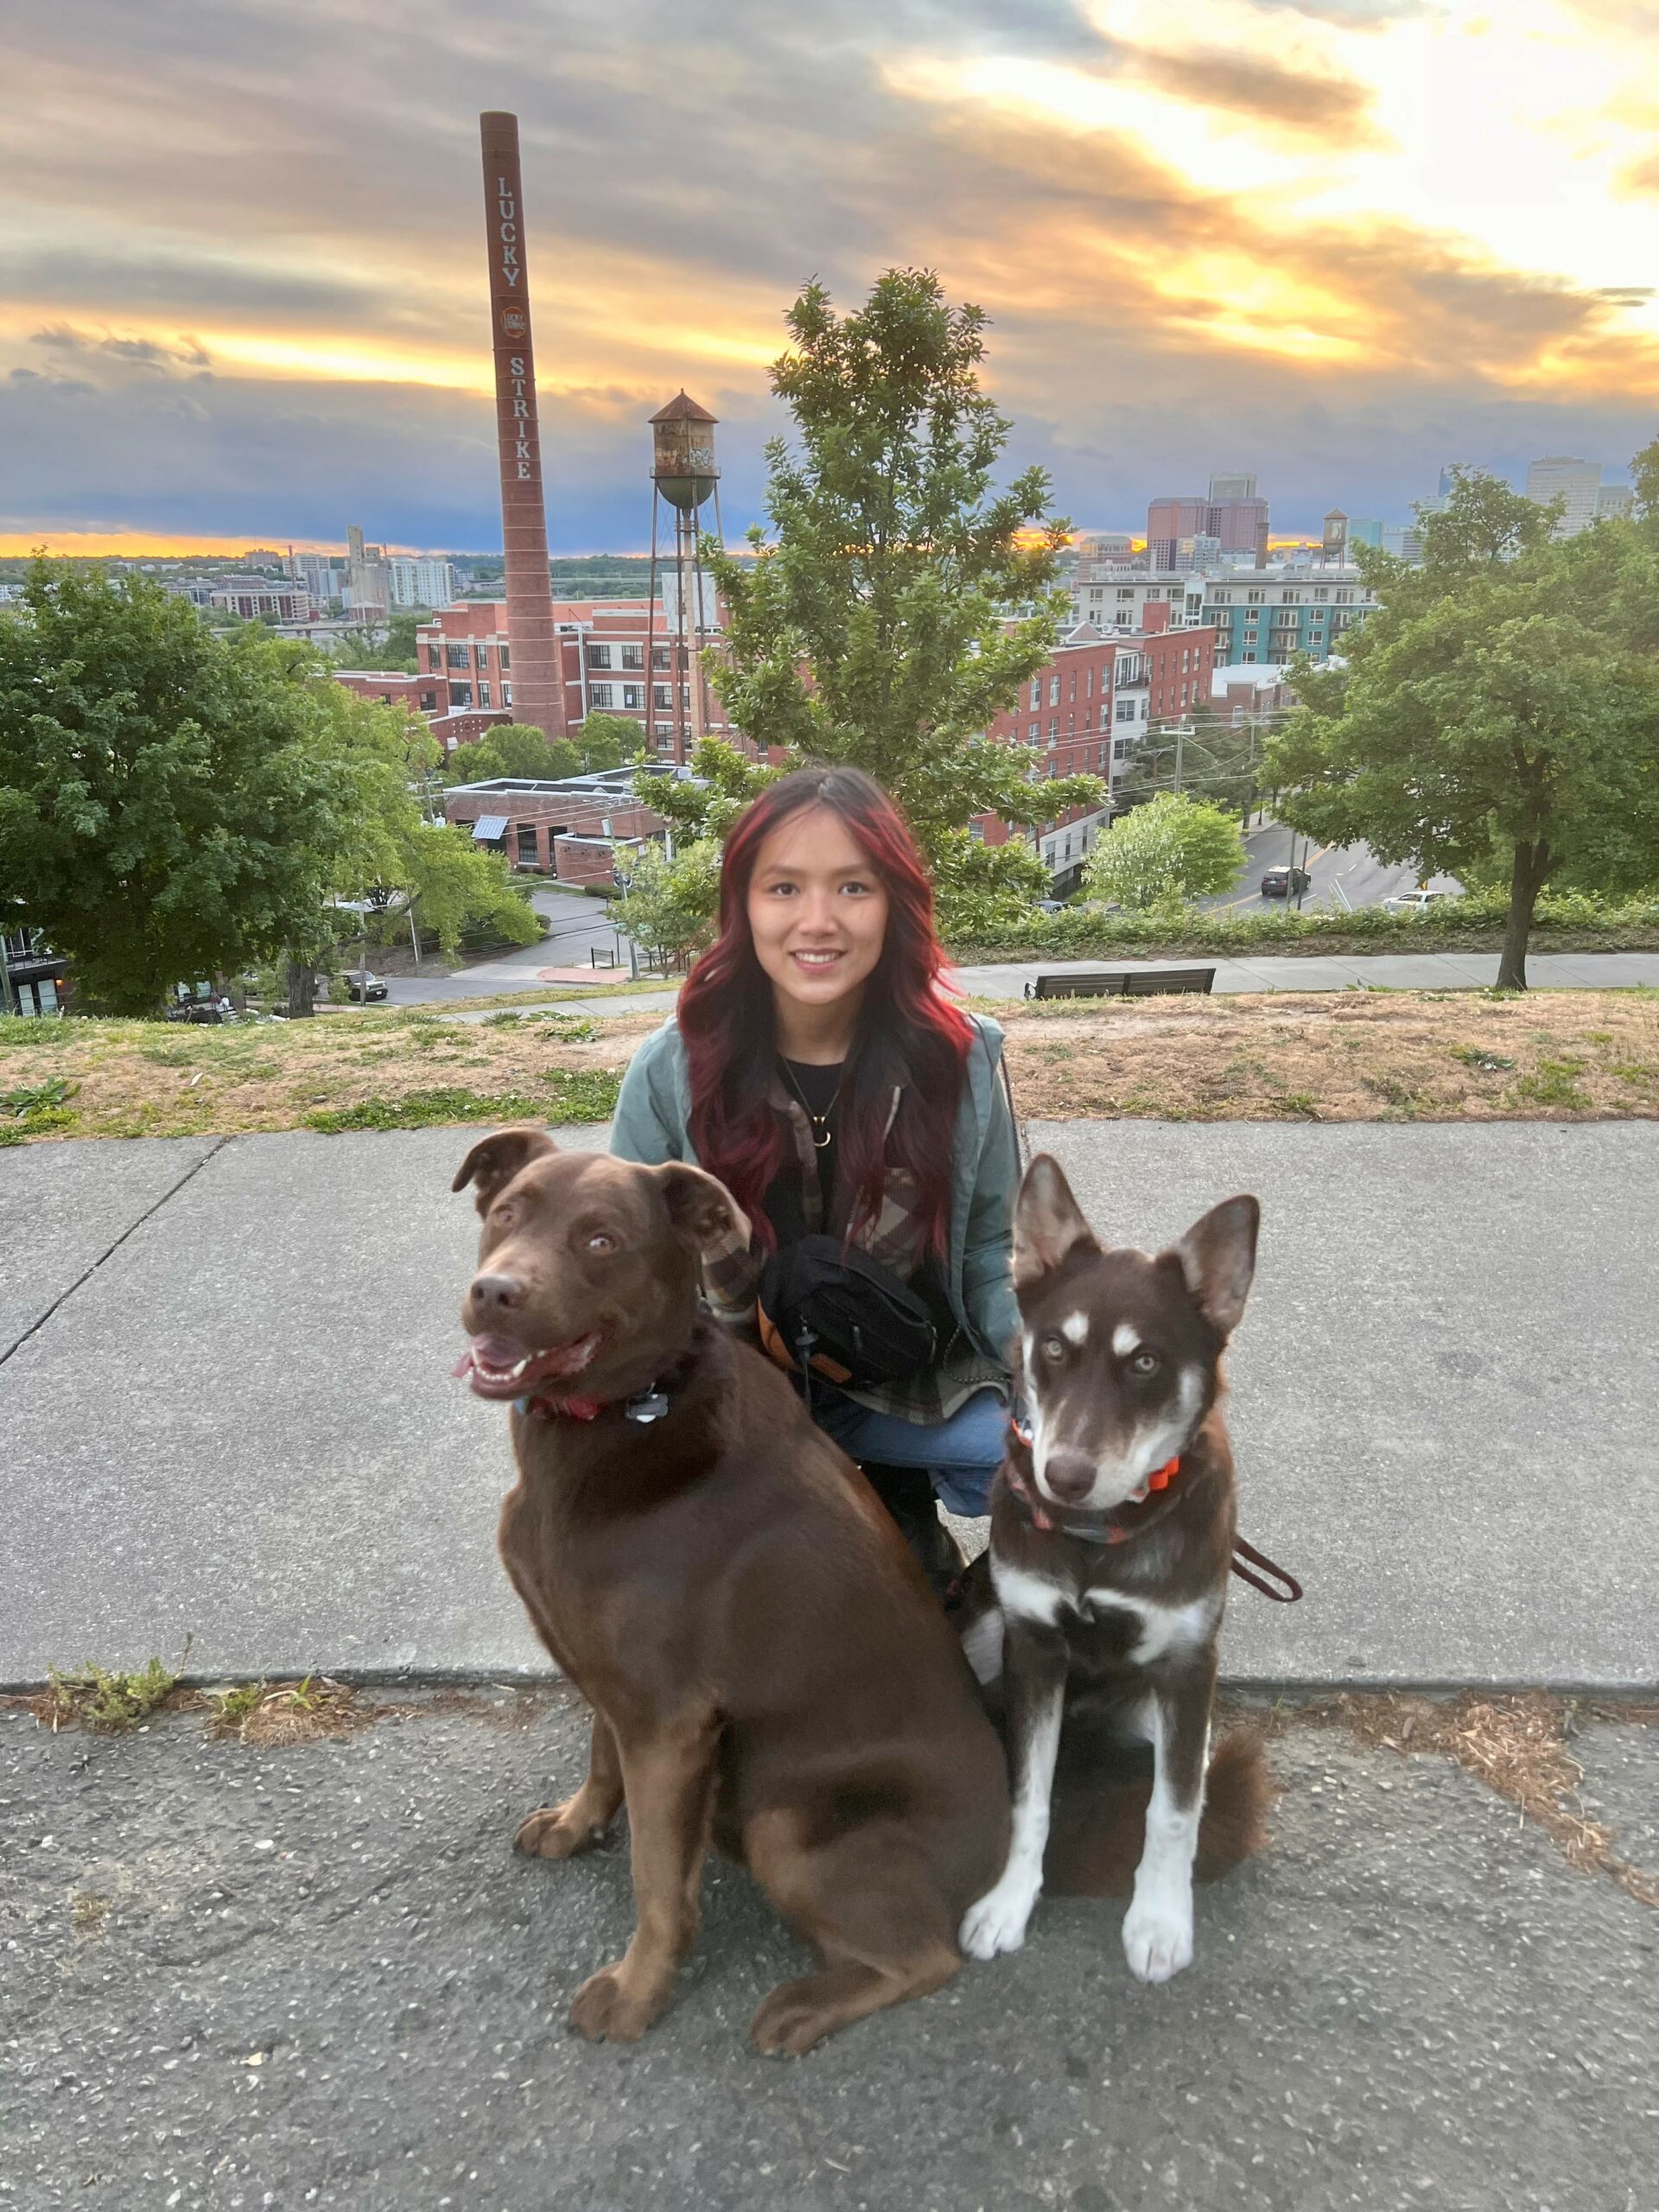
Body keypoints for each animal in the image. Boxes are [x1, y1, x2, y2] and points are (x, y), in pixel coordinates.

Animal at [451, 1141, 1013, 2052]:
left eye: (602, 1241)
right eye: (507, 1213)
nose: (495, 1292)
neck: (630, 1410)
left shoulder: (668, 1721)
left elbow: (656, 1882)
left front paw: (635, 1996)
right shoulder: (617, 1684)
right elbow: (600, 1758)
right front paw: (577, 1823)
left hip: (785, 1822)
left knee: (929, 1957)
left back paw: (801, 2009)